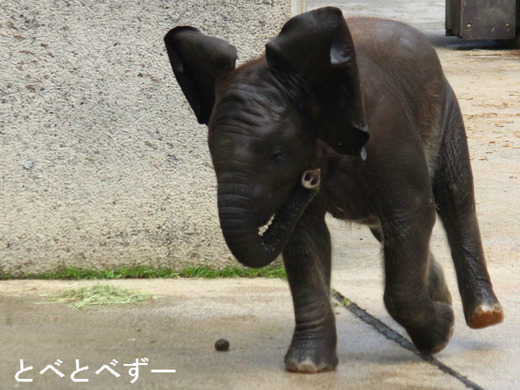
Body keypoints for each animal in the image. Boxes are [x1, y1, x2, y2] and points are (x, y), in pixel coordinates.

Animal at [164, 6, 504, 372]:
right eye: (213, 158)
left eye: (277, 156)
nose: (309, 179)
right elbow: (305, 239)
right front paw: (307, 365)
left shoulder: (389, 134)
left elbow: (412, 214)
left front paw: (441, 332)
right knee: (385, 229)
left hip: (445, 108)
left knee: (455, 196)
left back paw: (484, 314)